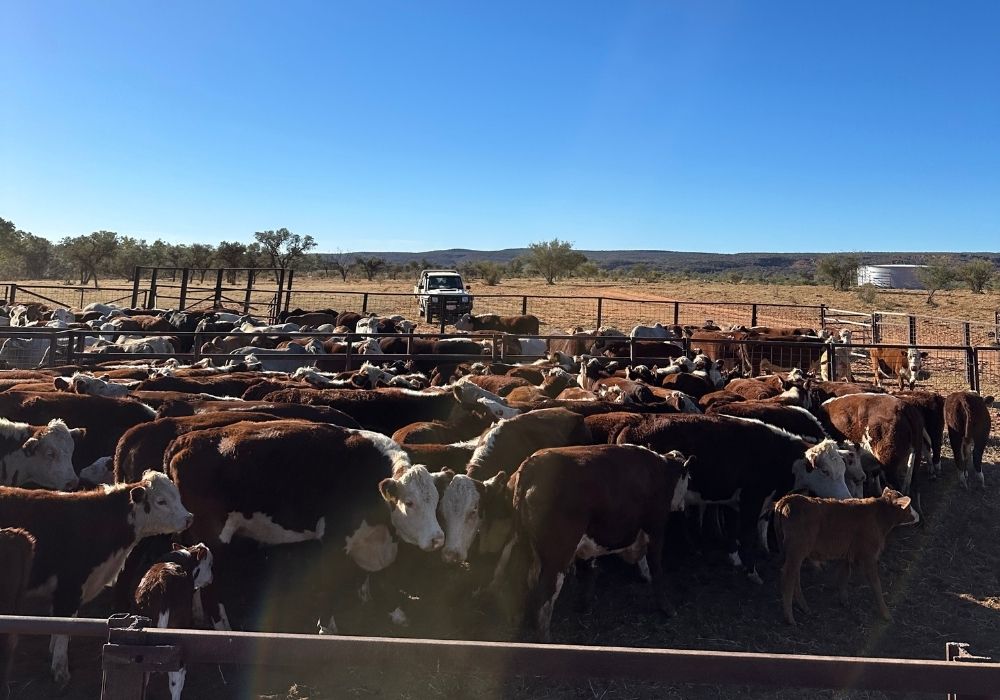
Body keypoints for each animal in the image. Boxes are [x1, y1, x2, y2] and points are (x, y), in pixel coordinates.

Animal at [0, 472, 192, 686]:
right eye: (161, 501)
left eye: (178, 496)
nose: (189, 518)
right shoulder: (70, 588)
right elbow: (64, 627)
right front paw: (60, 669)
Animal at [507, 445, 690, 641]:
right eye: (689, 478)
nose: (682, 506)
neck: (661, 471)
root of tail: (531, 464)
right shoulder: (655, 529)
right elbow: (657, 569)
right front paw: (667, 608)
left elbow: (591, 570)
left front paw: (585, 603)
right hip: (557, 557)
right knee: (543, 598)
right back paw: (545, 639)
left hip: (526, 551)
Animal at [616, 415, 853, 581]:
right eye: (825, 471)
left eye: (842, 470)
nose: (846, 498)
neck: (776, 455)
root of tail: (632, 427)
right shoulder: (752, 500)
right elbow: (747, 534)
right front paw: (752, 572)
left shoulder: (736, 502)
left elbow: (733, 530)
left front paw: (735, 559)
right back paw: (646, 572)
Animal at [775, 488, 919, 625]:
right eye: (908, 506)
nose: (917, 515)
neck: (878, 516)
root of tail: (788, 498)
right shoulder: (869, 556)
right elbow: (876, 584)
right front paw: (886, 614)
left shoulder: (847, 554)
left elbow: (844, 575)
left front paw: (844, 600)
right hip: (796, 551)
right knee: (788, 577)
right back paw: (790, 618)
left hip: (796, 553)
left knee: (795, 576)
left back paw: (804, 608)